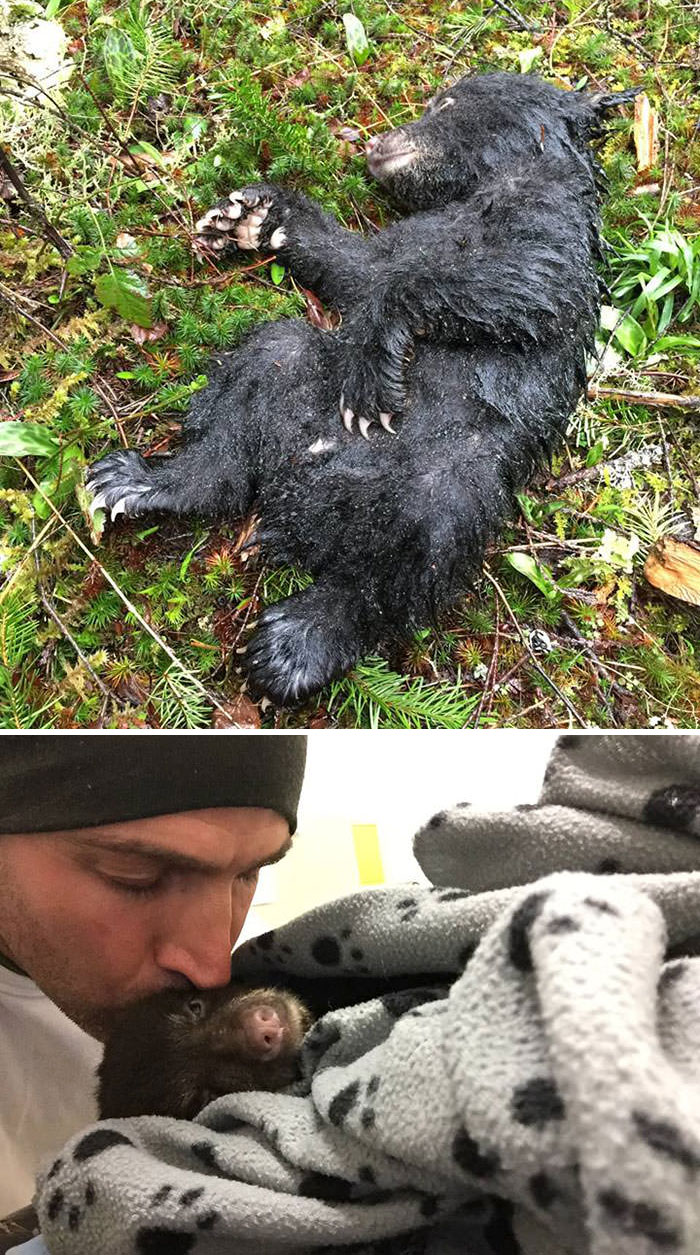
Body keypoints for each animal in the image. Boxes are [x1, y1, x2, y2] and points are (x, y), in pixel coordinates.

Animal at [86, 71, 637, 708]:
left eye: (446, 102)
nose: (376, 143)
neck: (486, 184)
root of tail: (293, 504)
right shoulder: (408, 234)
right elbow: (360, 265)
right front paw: (256, 214)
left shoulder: (548, 217)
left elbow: (518, 275)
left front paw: (373, 371)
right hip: (293, 389)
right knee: (263, 369)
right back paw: (143, 481)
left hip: (455, 469)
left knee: (417, 553)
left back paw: (296, 644)